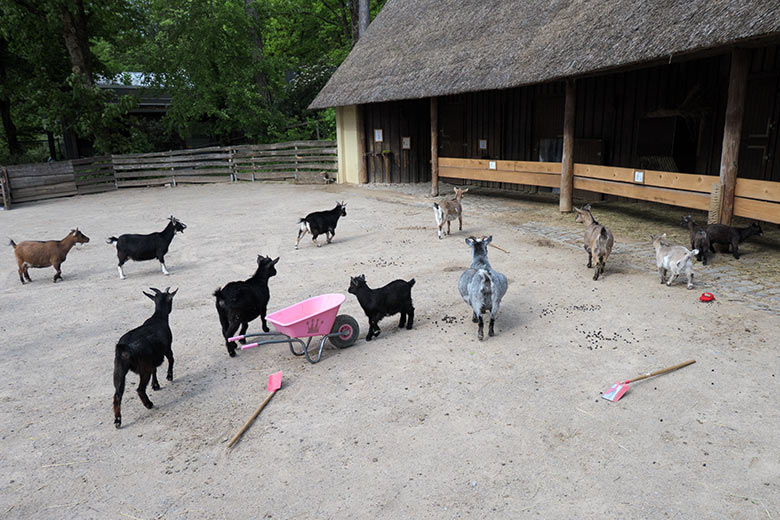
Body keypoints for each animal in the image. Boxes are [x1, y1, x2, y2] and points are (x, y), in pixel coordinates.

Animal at [112, 286, 177, 428]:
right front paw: (169, 377)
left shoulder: (153, 358)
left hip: (119, 370)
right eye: (170, 299)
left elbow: (155, 369)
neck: (158, 317)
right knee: (140, 389)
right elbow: (171, 360)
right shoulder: (167, 348)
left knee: (117, 395)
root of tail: (124, 347)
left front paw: (155, 385)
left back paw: (118, 420)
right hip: (143, 368)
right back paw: (148, 404)